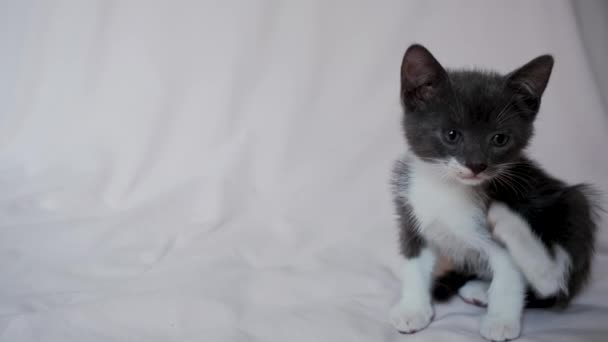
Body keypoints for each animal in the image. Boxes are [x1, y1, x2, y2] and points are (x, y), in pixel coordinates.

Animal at [390, 44, 600, 340]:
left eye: (499, 139)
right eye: (452, 134)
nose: (476, 165)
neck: (449, 188)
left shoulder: (520, 199)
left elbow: (509, 276)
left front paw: (501, 321)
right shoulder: (410, 211)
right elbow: (413, 262)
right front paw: (412, 309)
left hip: (571, 202)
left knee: (554, 283)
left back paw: (508, 226)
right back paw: (479, 287)